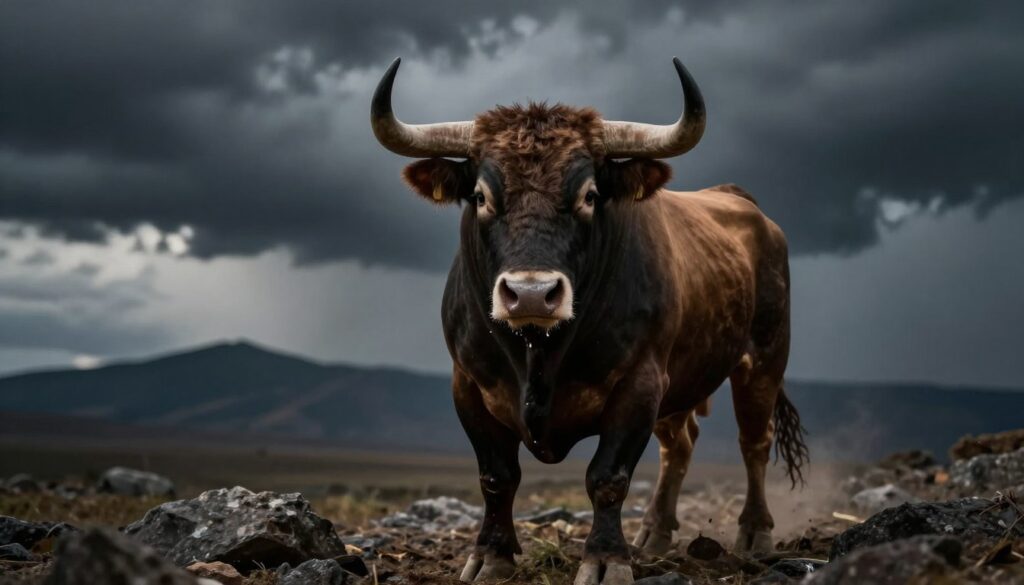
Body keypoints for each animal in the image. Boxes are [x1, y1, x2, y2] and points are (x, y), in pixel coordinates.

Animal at [370, 57, 808, 585]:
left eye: (590, 194)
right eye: (480, 196)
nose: (531, 294)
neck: (538, 352)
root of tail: (743, 204)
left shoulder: (639, 384)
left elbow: (607, 478)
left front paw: (605, 560)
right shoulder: (469, 386)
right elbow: (497, 477)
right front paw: (491, 556)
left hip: (763, 361)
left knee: (754, 443)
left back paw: (754, 532)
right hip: (683, 378)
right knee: (679, 446)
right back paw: (655, 533)